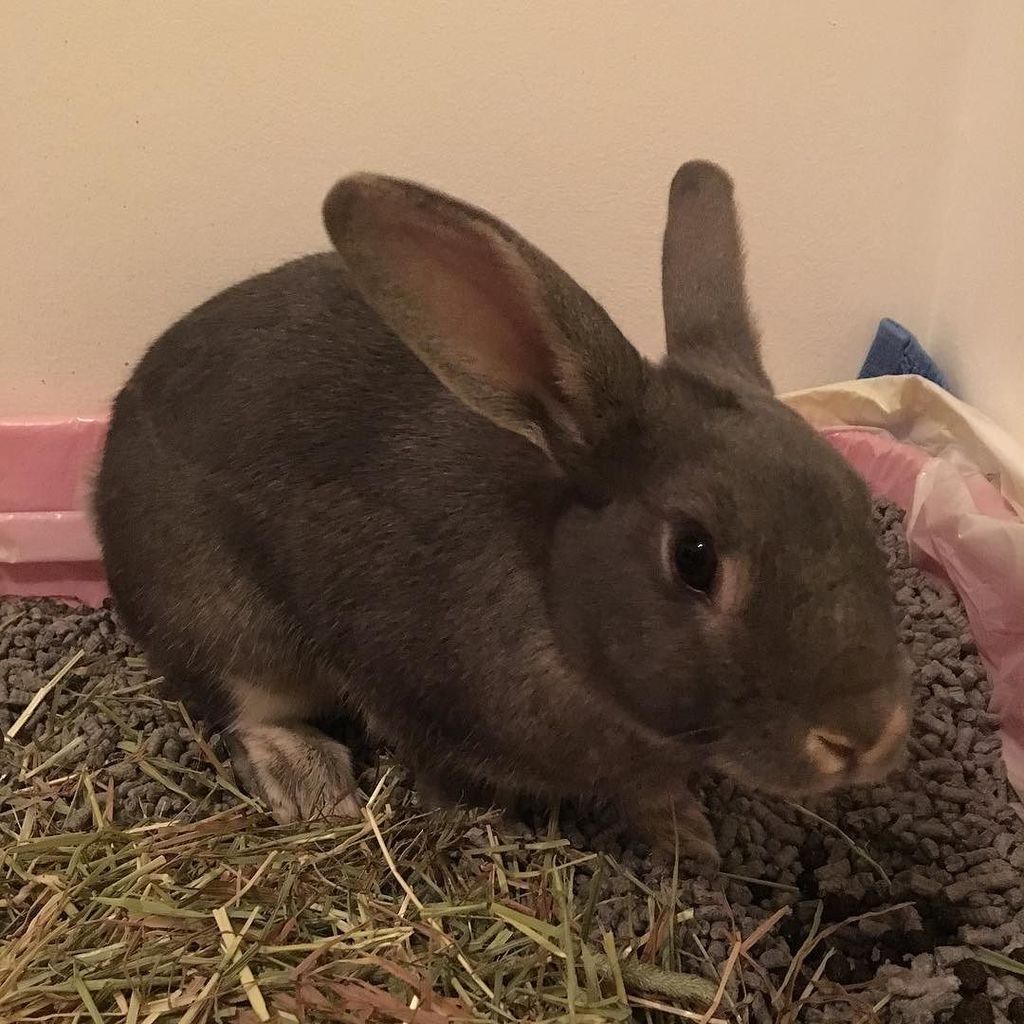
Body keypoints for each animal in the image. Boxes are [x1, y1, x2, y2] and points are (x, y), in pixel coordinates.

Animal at [93, 161, 910, 858]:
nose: (863, 735)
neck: (551, 592)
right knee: (242, 707)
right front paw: (489, 827)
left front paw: (690, 838)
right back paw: (311, 781)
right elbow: (445, 778)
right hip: (223, 620)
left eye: (857, 500)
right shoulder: (415, 705)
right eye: (694, 557)